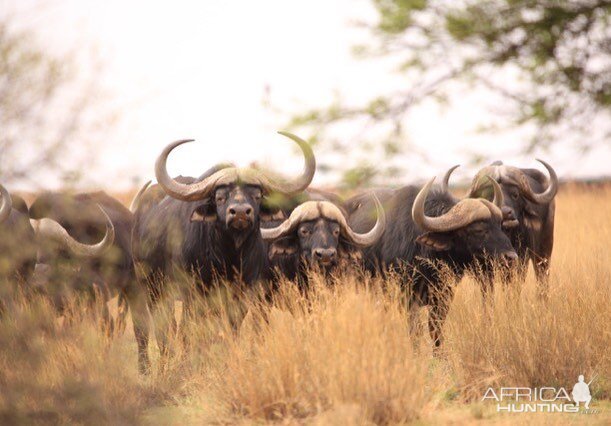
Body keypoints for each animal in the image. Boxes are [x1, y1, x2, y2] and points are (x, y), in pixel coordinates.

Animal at [133, 131, 316, 372]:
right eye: (220, 197)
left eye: (256, 195)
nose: (239, 212)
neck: (227, 256)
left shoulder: (243, 294)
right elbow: (191, 330)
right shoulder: (193, 293)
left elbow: (232, 328)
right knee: (158, 328)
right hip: (151, 288)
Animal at [344, 176, 516, 350]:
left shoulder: (444, 297)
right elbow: (415, 331)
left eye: (500, 225)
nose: (511, 257)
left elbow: (435, 330)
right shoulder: (406, 296)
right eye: (478, 230)